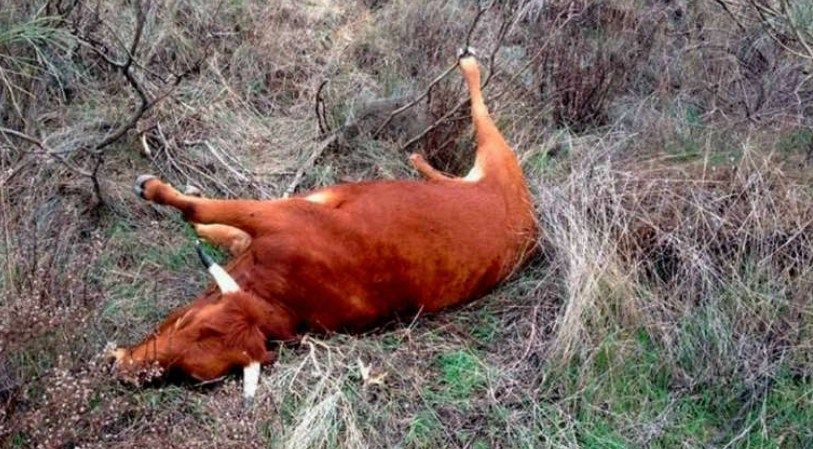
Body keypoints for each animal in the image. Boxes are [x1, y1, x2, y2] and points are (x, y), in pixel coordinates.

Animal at [111, 52, 538, 406]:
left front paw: (153, 189)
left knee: (481, 109)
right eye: (186, 321)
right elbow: (215, 226)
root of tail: (530, 225)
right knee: (448, 165)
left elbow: (203, 208)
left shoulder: (280, 215)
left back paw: (468, 62)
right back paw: (420, 161)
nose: (123, 368)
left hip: (497, 151)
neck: (285, 290)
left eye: (198, 375)